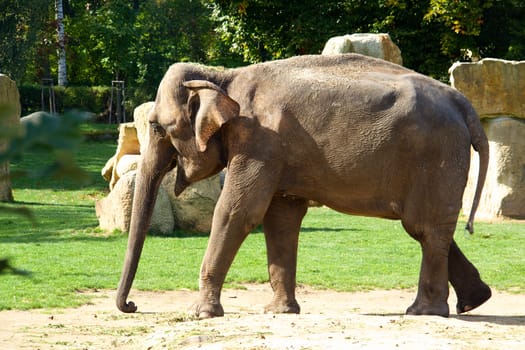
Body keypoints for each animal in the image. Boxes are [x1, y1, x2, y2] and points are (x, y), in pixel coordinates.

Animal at [115, 53, 492, 318]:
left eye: (157, 127)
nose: (133, 306)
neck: (224, 76)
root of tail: (463, 103)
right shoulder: (276, 151)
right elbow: (280, 219)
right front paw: (279, 312)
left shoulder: (259, 141)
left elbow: (238, 211)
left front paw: (199, 314)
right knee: (428, 227)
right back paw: (473, 302)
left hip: (437, 155)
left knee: (424, 227)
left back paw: (423, 312)